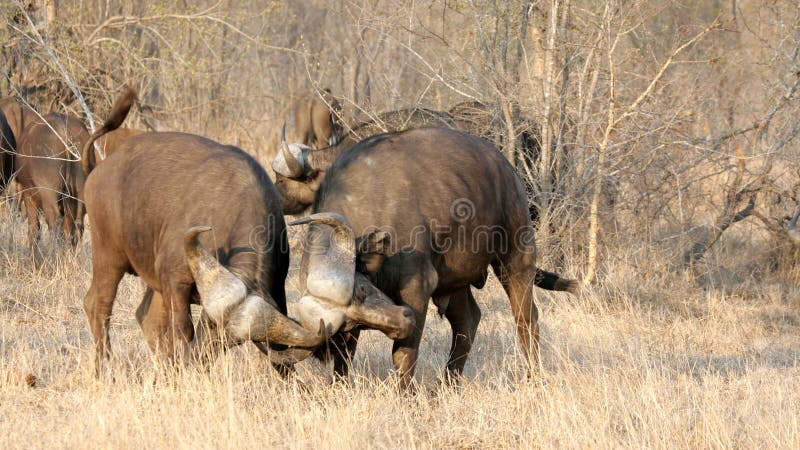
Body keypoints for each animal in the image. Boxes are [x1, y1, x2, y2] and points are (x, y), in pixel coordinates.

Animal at [290, 128, 580, 388]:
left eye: (362, 289)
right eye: (350, 323)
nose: (403, 324)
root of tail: (505, 166)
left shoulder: (418, 286)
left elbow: (403, 355)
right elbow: (343, 359)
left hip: (516, 259)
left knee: (526, 318)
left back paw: (534, 379)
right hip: (455, 281)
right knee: (468, 321)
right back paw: (446, 385)